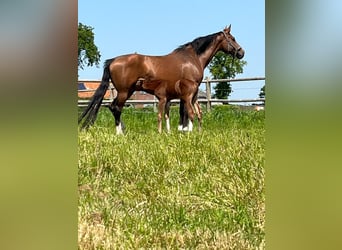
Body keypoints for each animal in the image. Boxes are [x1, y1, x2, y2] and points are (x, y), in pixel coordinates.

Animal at [78, 25, 243, 134]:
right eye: (232, 39)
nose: (241, 52)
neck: (192, 58)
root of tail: (112, 61)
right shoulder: (186, 91)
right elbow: (184, 111)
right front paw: (184, 130)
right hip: (124, 92)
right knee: (116, 108)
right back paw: (120, 132)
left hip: (128, 91)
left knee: (112, 107)